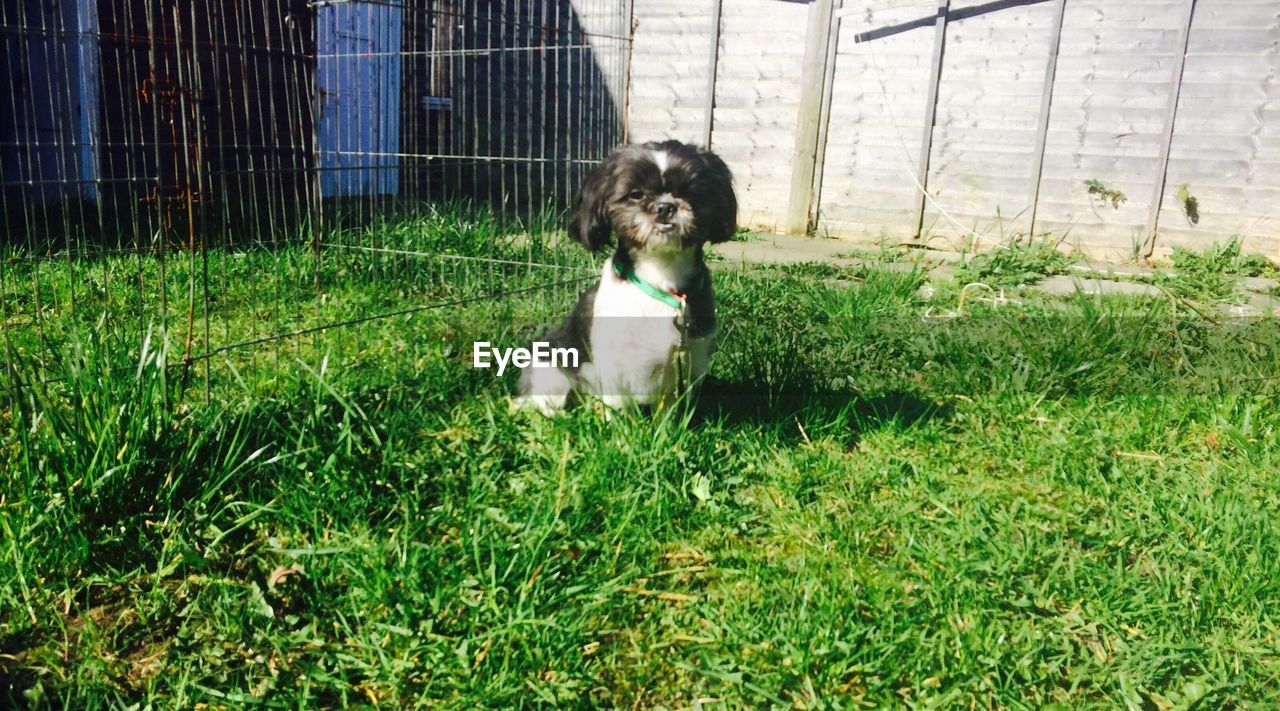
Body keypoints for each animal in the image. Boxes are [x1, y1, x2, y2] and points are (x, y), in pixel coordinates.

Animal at [517, 139, 737, 415]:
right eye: (636, 194)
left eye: (689, 191)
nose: (665, 207)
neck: (660, 280)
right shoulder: (616, 364)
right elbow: (619, 409)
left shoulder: (688, 360)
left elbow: (669, 411)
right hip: (550, 371)